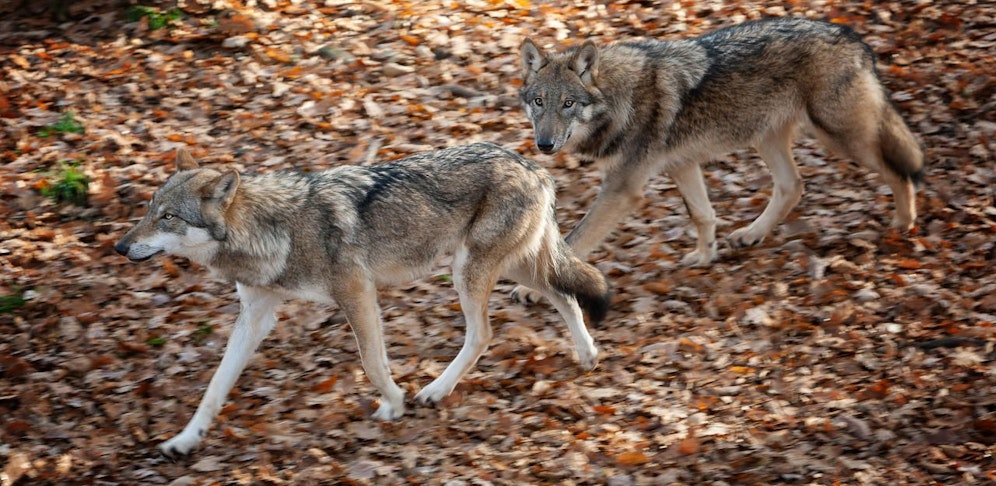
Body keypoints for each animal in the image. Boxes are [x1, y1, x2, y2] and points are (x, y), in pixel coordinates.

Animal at [115, 144, 610, 457]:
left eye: (169, 217)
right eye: (149, 210)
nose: (120, 246)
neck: (275, 230)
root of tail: (534, 167)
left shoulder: (357, 293)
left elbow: (372, 362)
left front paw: (395, 402)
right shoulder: (256, 314)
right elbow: (215, 387)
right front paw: (185, 440)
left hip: (470, 272)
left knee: (486, 332)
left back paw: (436, 390)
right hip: (510, 266)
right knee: (565, 294)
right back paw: (587, 354)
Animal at [516, 17, 924, 283]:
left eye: (568, 104)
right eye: (539, 102)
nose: (544, 144)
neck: (619, 99)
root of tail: (852, 36)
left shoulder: (623, 190)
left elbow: (577, 237)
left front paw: (531, 290)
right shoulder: (682, 165)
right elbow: (703, 215)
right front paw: (705, 255)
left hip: (841, 137)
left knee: (899, 171)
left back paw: (904, 224)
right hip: (767, 137)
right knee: (793, 186)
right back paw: (751, 234)